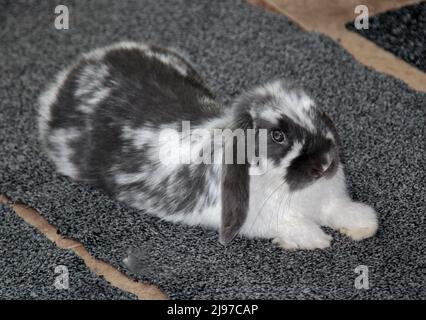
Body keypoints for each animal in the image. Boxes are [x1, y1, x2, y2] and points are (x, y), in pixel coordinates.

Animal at [38, 41, 378, 249]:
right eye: (277, 136)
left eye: (319, 114)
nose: (325, 163)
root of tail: (76, 70)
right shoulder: (261, 215)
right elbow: (290, 222)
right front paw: (315, 239)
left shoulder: (325, 200)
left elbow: (337, 209)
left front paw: (364, 223)